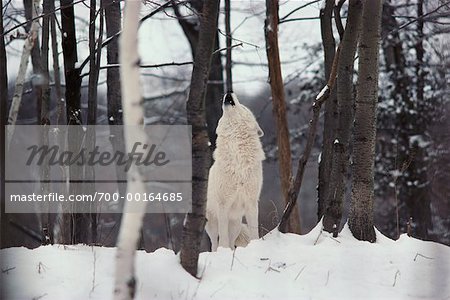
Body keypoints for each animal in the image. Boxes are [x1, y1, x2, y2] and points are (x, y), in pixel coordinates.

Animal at [206, 92, 266, 251]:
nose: (228, 92)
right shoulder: (223, 204)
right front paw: (223, 252)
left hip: (236, 224)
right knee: (215, 241)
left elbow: (254, 231)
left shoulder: (251, 203)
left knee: (232, 240)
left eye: (243, 107)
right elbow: (223, 239)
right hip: (212, 222)